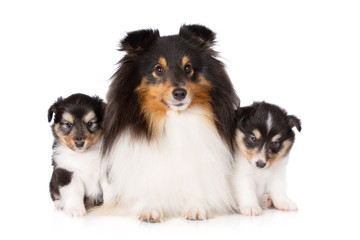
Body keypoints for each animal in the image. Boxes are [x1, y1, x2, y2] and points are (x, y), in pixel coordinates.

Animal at [101, 24, 240, 223]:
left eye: (188, 67)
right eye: (158, 69)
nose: (180, 93)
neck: (175, 119)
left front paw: (195, 208)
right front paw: (150, 210)